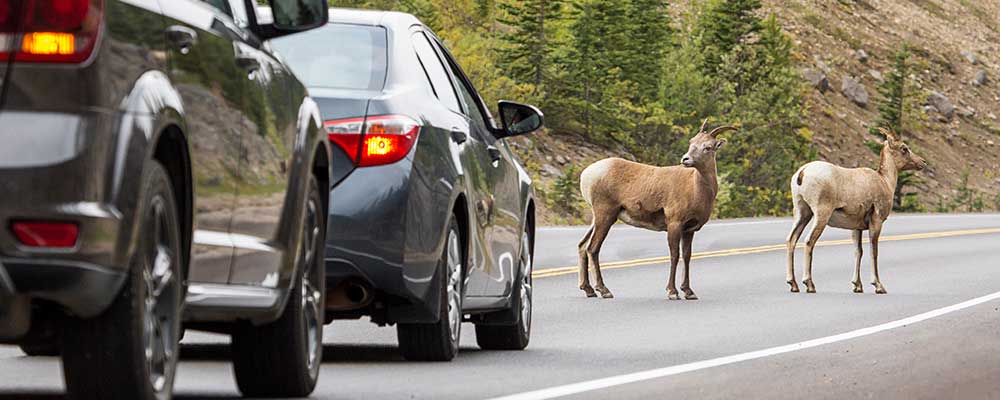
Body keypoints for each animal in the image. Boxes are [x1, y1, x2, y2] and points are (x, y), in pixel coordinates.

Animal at [576, 120, 740, 298]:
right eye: (691, 142)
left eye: (708, 147)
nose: (685, 159)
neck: (696, 189)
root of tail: (586, 174)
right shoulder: (674, 224)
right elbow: (674, 255)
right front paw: (673, 292)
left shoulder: (689, 230)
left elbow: (687, 256)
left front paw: (689, 292)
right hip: (605, 215)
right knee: (593, 248)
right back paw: (604, 290)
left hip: (597, 218)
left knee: (582, 246)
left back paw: (588, 290)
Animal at [788, 128, 928, 294]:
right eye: (904, 148)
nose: (923, 162)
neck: (885, 181)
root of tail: (802, 173)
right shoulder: (876, 221)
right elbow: (873, 252)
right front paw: (879, 286)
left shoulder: (856, 227)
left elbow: (858, 251)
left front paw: (857, 286)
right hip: (821, 214)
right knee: (809, 241)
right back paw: (809, 284)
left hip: (802, 212)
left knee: (791, 240)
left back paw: (793, 284)